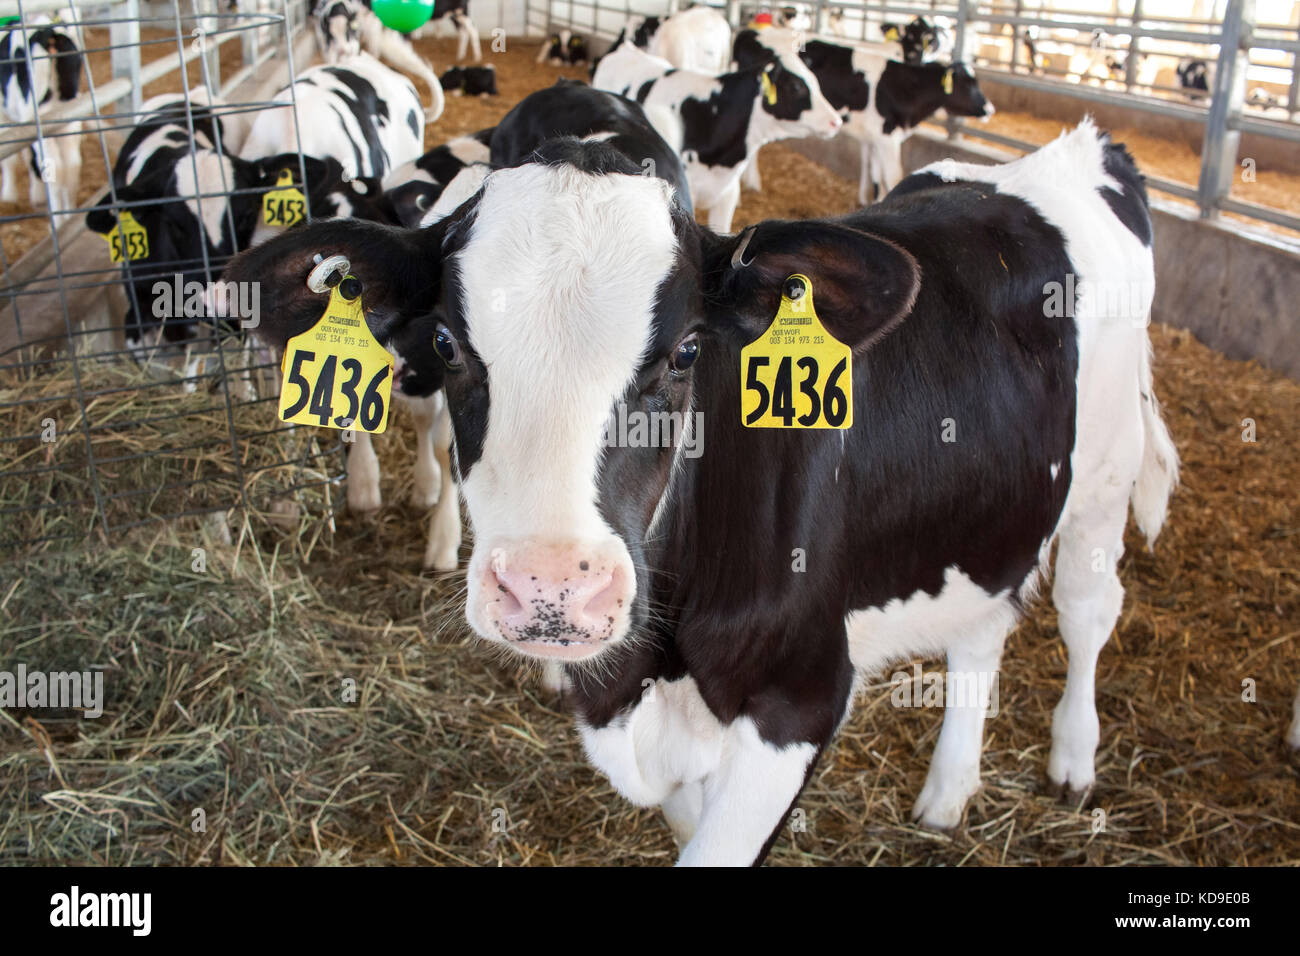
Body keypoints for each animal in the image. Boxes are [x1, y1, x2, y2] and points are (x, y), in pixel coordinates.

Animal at [0, 20, 82, 212]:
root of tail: (49, 32)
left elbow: (11, 160)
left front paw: (9, 196)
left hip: (38, 119)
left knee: (55, 169)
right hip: (68, 119)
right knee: (72, 167)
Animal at [223, 115, 1180, 863]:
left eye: (686, 351)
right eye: (449, 344)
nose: (549, 588)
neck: (662, 658)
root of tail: (1072, 150)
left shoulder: (802, 694)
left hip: (1102, 480)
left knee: (1087, 609)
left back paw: (1073, 761)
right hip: (985, 511)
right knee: (982, 627)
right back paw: (948, 792)